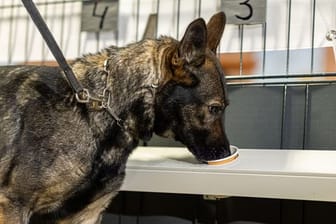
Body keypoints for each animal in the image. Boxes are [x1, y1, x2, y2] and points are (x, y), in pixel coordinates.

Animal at [0, 11, 230, 222]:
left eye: (224, 107)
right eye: (214, 108)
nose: (226, 153)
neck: (100, 109)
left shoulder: (86, 214)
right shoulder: (13, 205)